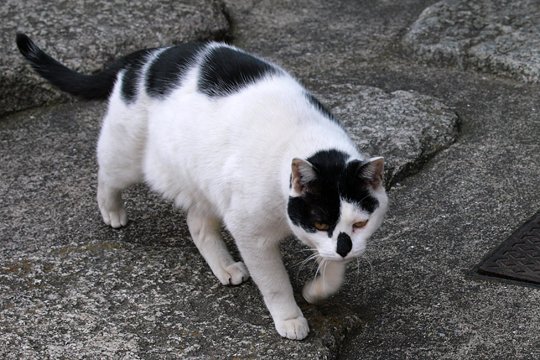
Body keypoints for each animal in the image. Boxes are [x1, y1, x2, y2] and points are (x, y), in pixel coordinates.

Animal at [16, 32, 388, 338]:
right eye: (321, 222)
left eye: (360, 223)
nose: (345, 247)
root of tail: (150, 53)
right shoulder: (250, 233)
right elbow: (275, 282)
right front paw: (290, 317)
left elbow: (334, 270)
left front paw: (317, 289)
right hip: (126, 154)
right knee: (108, 174)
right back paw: (112, 211)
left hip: (205, 183)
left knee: (197, 224)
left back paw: (224, 267)